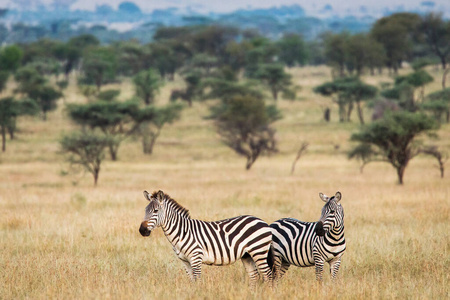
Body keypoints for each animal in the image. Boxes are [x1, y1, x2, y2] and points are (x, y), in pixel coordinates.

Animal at [138, 191, 274, 284]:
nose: (142, 230)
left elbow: (198, 281)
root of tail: (261, 221)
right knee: (254, 276)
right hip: (247, 255)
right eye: (145, 210)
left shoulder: (196, 258)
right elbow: (192, 282)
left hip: (259, 251)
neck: (182, 232)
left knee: (268, 275)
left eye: (156, 211)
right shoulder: (185, 262)